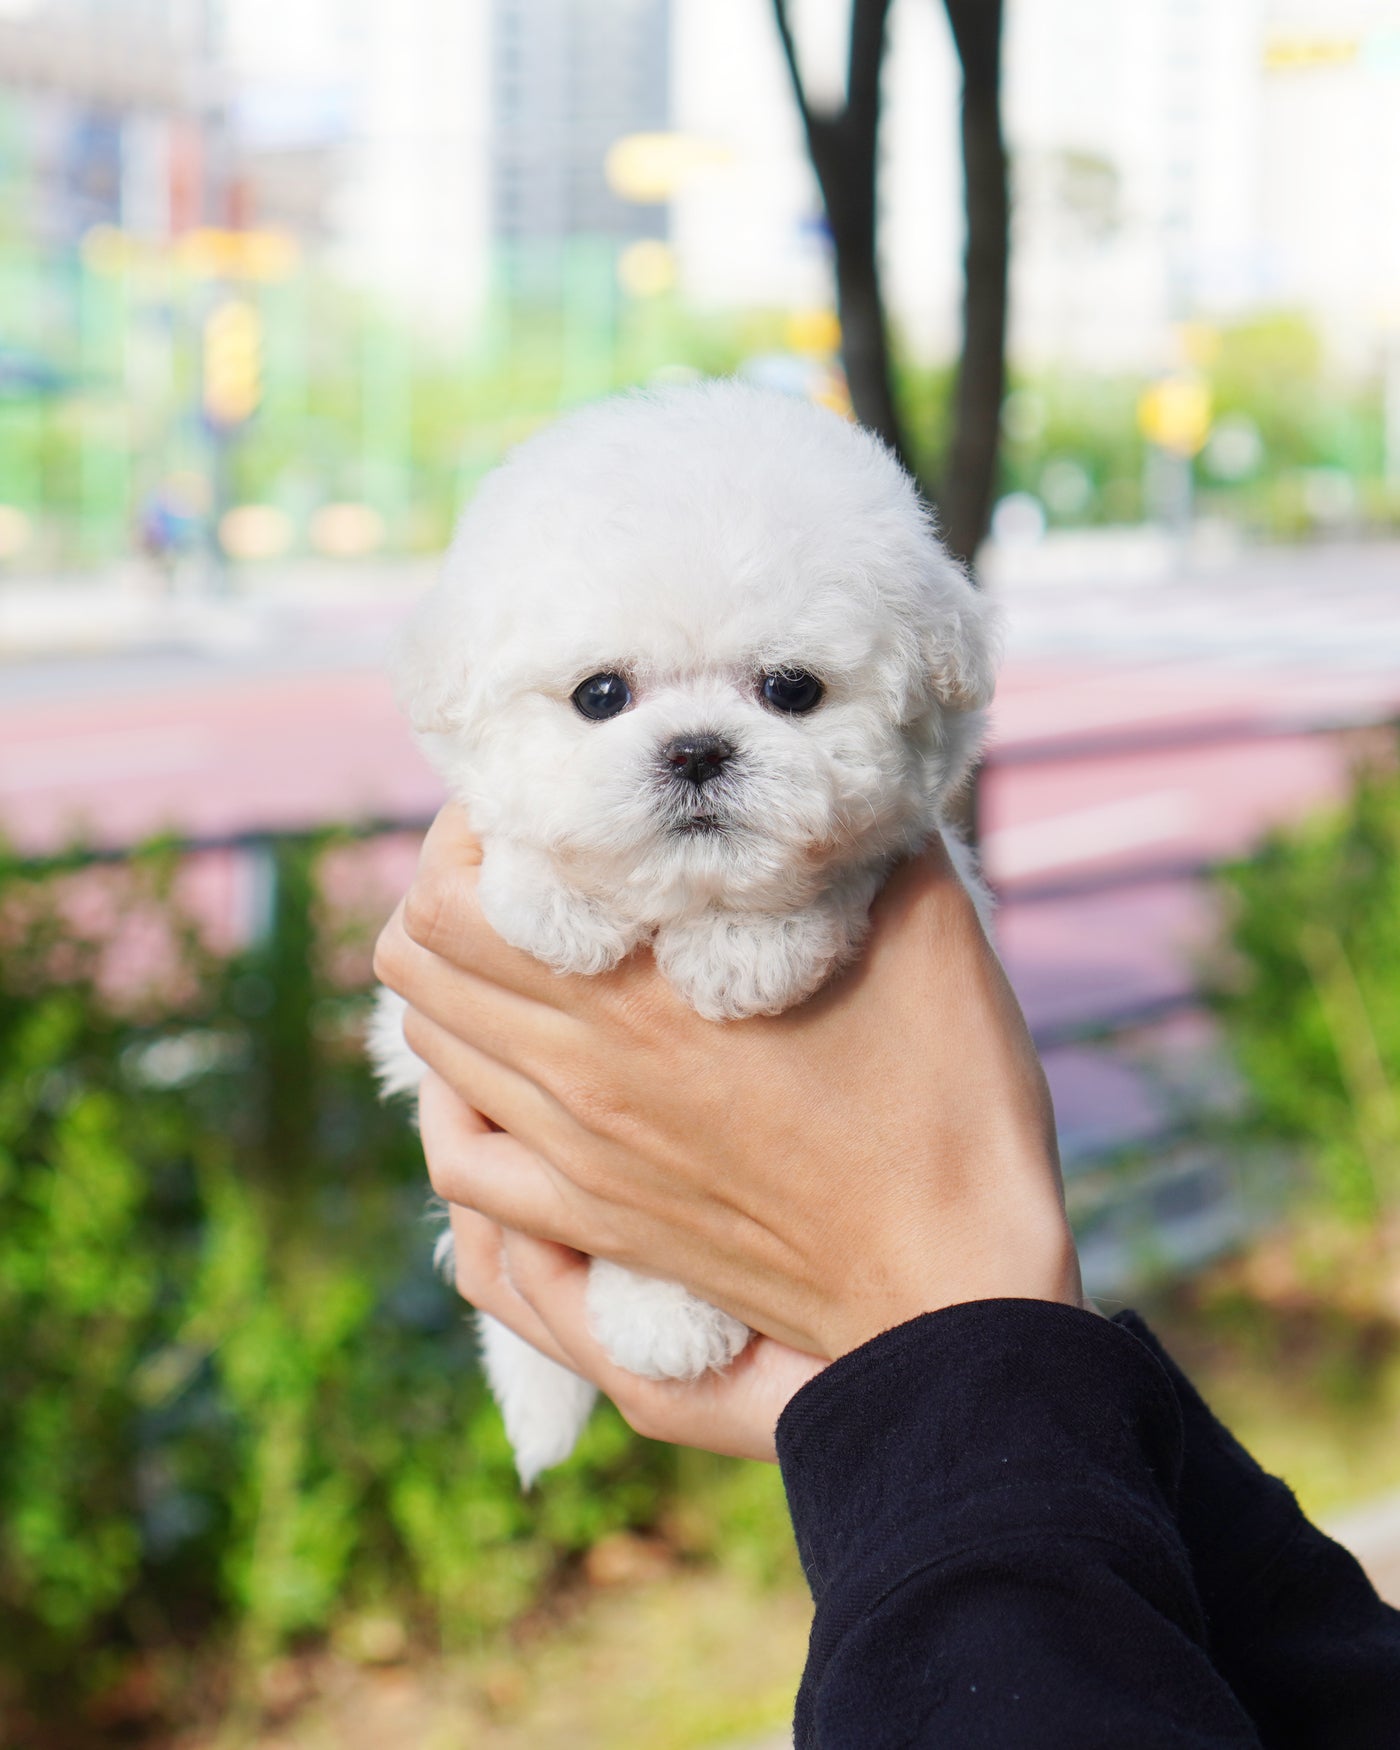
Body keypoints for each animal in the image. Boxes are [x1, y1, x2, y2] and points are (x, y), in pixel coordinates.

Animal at [374, 376, 994, 1484]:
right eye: (599, 695)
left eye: (790, 689)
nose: (697, 750)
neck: (680, 897)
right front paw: (559, 903)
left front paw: (749, 947)